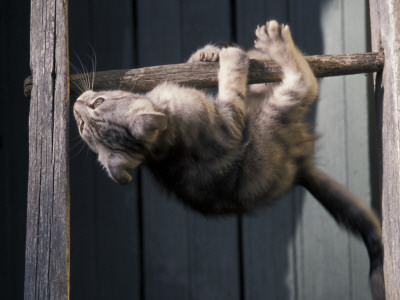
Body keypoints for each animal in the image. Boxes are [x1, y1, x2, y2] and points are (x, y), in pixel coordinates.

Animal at [74, 19, 384, 298]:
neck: (159, 147)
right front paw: (231, 60)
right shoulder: (227, 127)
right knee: (303, 84)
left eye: (96, 104)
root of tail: (299, 168)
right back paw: (275, 44)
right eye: (84, 117)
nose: (76, 105)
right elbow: (232, 90)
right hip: (275, 111)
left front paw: (206, 54)